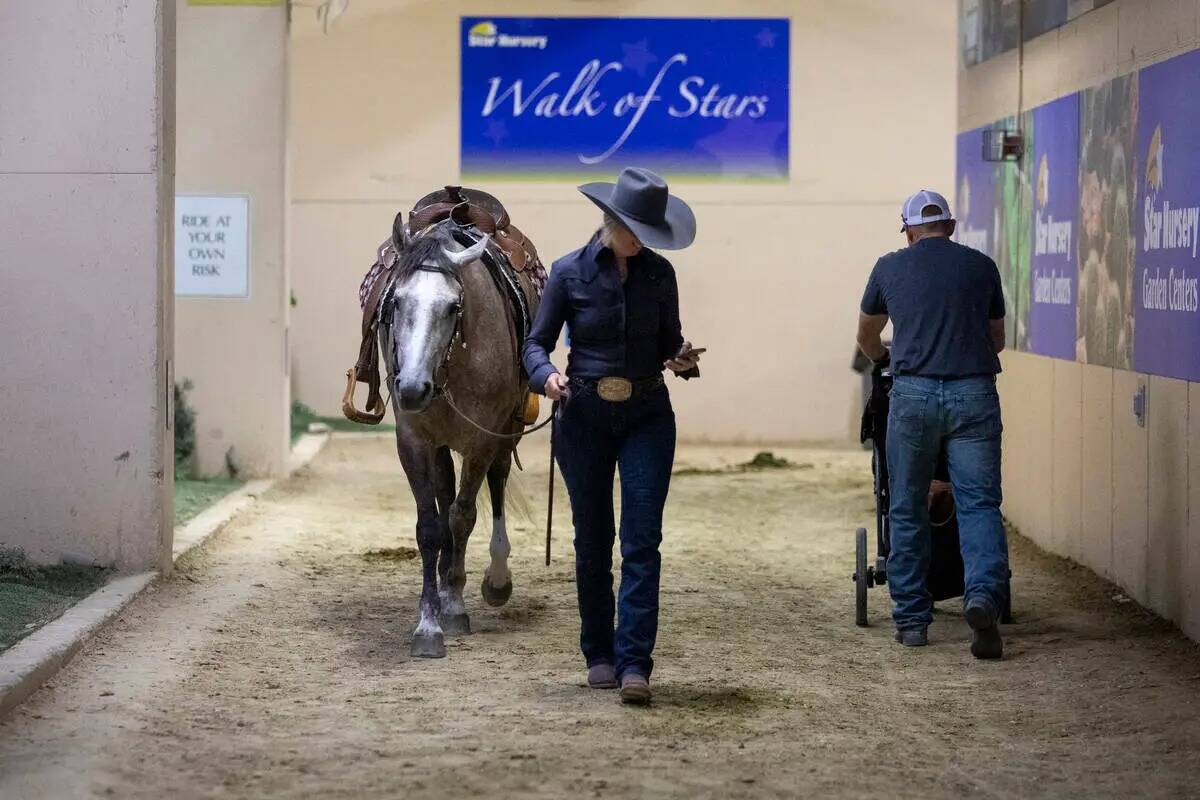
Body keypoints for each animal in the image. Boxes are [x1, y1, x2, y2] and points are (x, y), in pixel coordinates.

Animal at [381, 224, 537, 657]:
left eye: (453, 307)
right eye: (397, 301)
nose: (411, 388)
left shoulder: (482, 438)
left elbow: (463, 516)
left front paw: (452, 607)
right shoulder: (414, 440)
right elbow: (430, 526)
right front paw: (428, 624)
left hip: (506, 430)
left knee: (496, 481)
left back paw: (495, 580)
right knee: (444, 492)